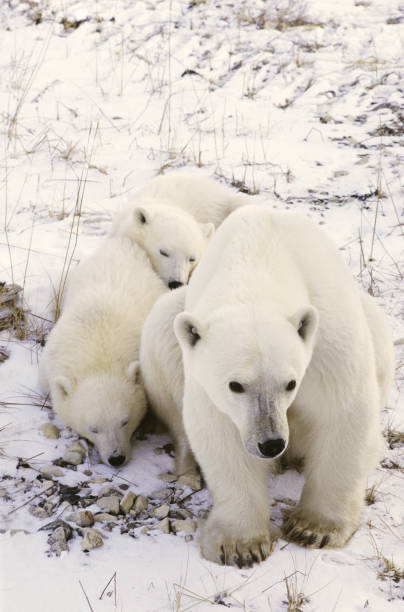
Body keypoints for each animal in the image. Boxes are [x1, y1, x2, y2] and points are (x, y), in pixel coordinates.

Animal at [172, 207, 392, 568]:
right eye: (235, 385)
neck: (259, 258)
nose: (271, 444)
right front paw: (239, 545)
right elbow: (220, 434)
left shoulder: (327, 342)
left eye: (290, 383)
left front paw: (314, 528)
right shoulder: (204, 381)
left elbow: (344, 410)